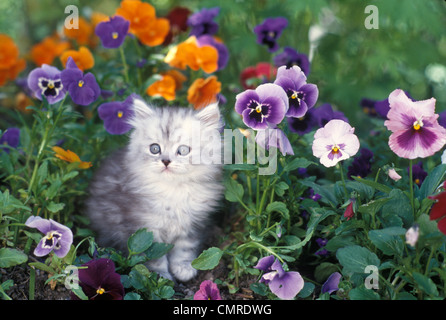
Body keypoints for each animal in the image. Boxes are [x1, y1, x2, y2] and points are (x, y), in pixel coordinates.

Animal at [84, 99, 223, 282]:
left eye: (183, 150)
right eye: (155, 148)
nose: (166, 161)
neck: (173, 191)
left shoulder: (192, 223)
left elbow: (185, 248)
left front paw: (183, 267)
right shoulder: (145, 227)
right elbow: (153, 256)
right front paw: (160, 276)